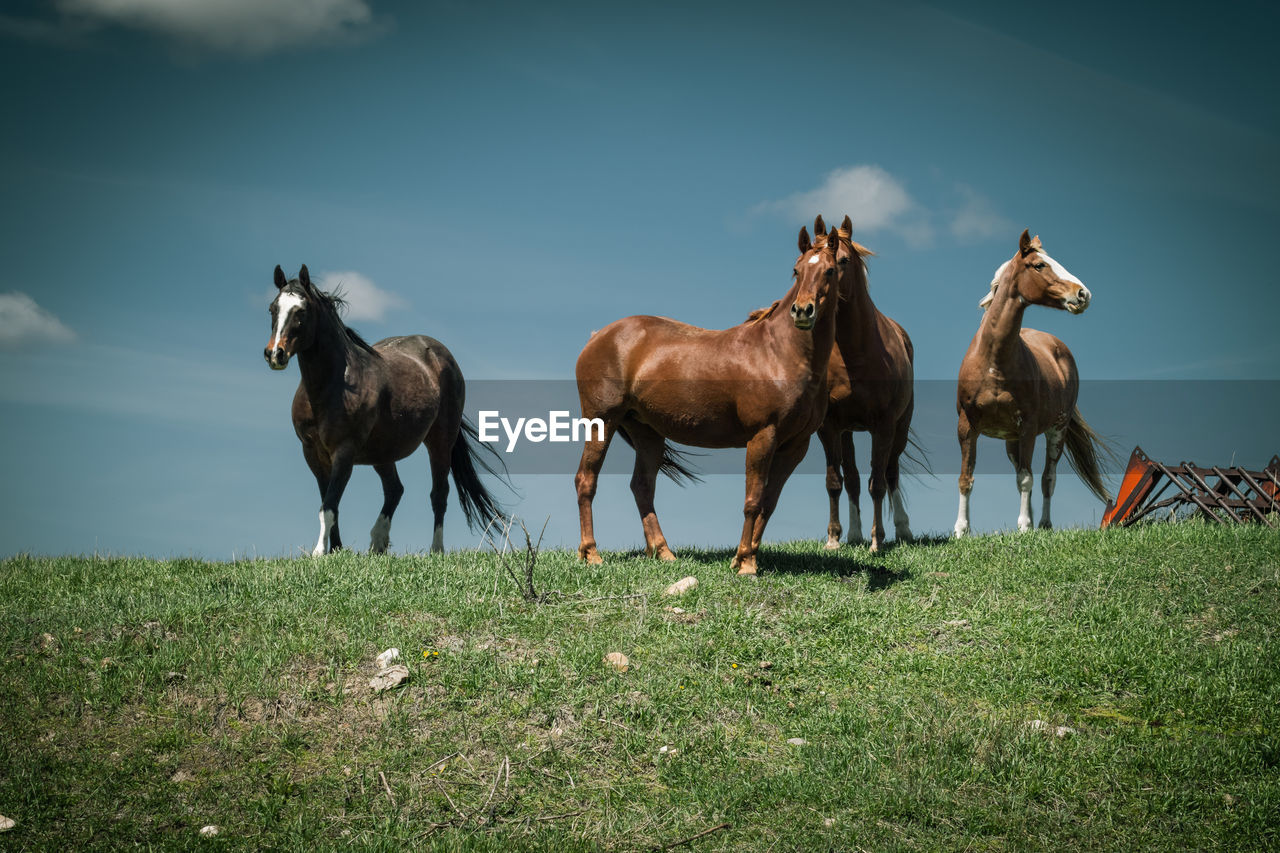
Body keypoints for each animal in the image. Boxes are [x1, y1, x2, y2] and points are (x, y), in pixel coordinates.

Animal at [264, 262, 504, 550]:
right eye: (273, 308)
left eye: (301, 311)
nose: (275, 354)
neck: (330, 386)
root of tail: (440, 354)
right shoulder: (313, 452)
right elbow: (329, 503)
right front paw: (335, 550)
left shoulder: (344, 451)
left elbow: (329, 506)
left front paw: (319, 552)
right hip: (383, 451)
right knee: (395, 489)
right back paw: (378, 542)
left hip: (440, 441)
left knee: (439, 494)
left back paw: (435, 550)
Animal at [576, 224, 844, 571]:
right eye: (796, 271)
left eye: (830, 270)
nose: (802, 311)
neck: (780, 353)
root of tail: (598, 336)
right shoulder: (762, 437)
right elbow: (753, 500)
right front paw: (745, 564)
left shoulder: (795, 446)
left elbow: (769, 502)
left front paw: (747, 556)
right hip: (602, 421)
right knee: (586, 480)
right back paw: (591, 553)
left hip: (647, 432)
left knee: (642, 487)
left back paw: (664, 552)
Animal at [808, 213, 911, 550]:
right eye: (800, 264)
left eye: (840, 261)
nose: (808, 305)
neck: (856, 353)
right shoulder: (829, 427)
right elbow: (835, 482)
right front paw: (833, 538)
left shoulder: (884, 425)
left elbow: (877, 483)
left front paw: (877, 540)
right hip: (848, 431)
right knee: (852, 479)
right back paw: (853, 533)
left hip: (900, 428)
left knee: (891, 472)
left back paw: (903, 529)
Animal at [957, 229, 1116, 535]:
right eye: (1039, 265)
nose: (1083, 294)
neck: (993, 362)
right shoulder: (967, 427)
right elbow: (966, 478)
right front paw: (960, 530)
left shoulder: (1028, 427)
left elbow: (1027, 479)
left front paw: (1024, 527)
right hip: (1012, 441)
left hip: (1056, 432)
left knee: (1046, 478)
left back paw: (1042, 524)